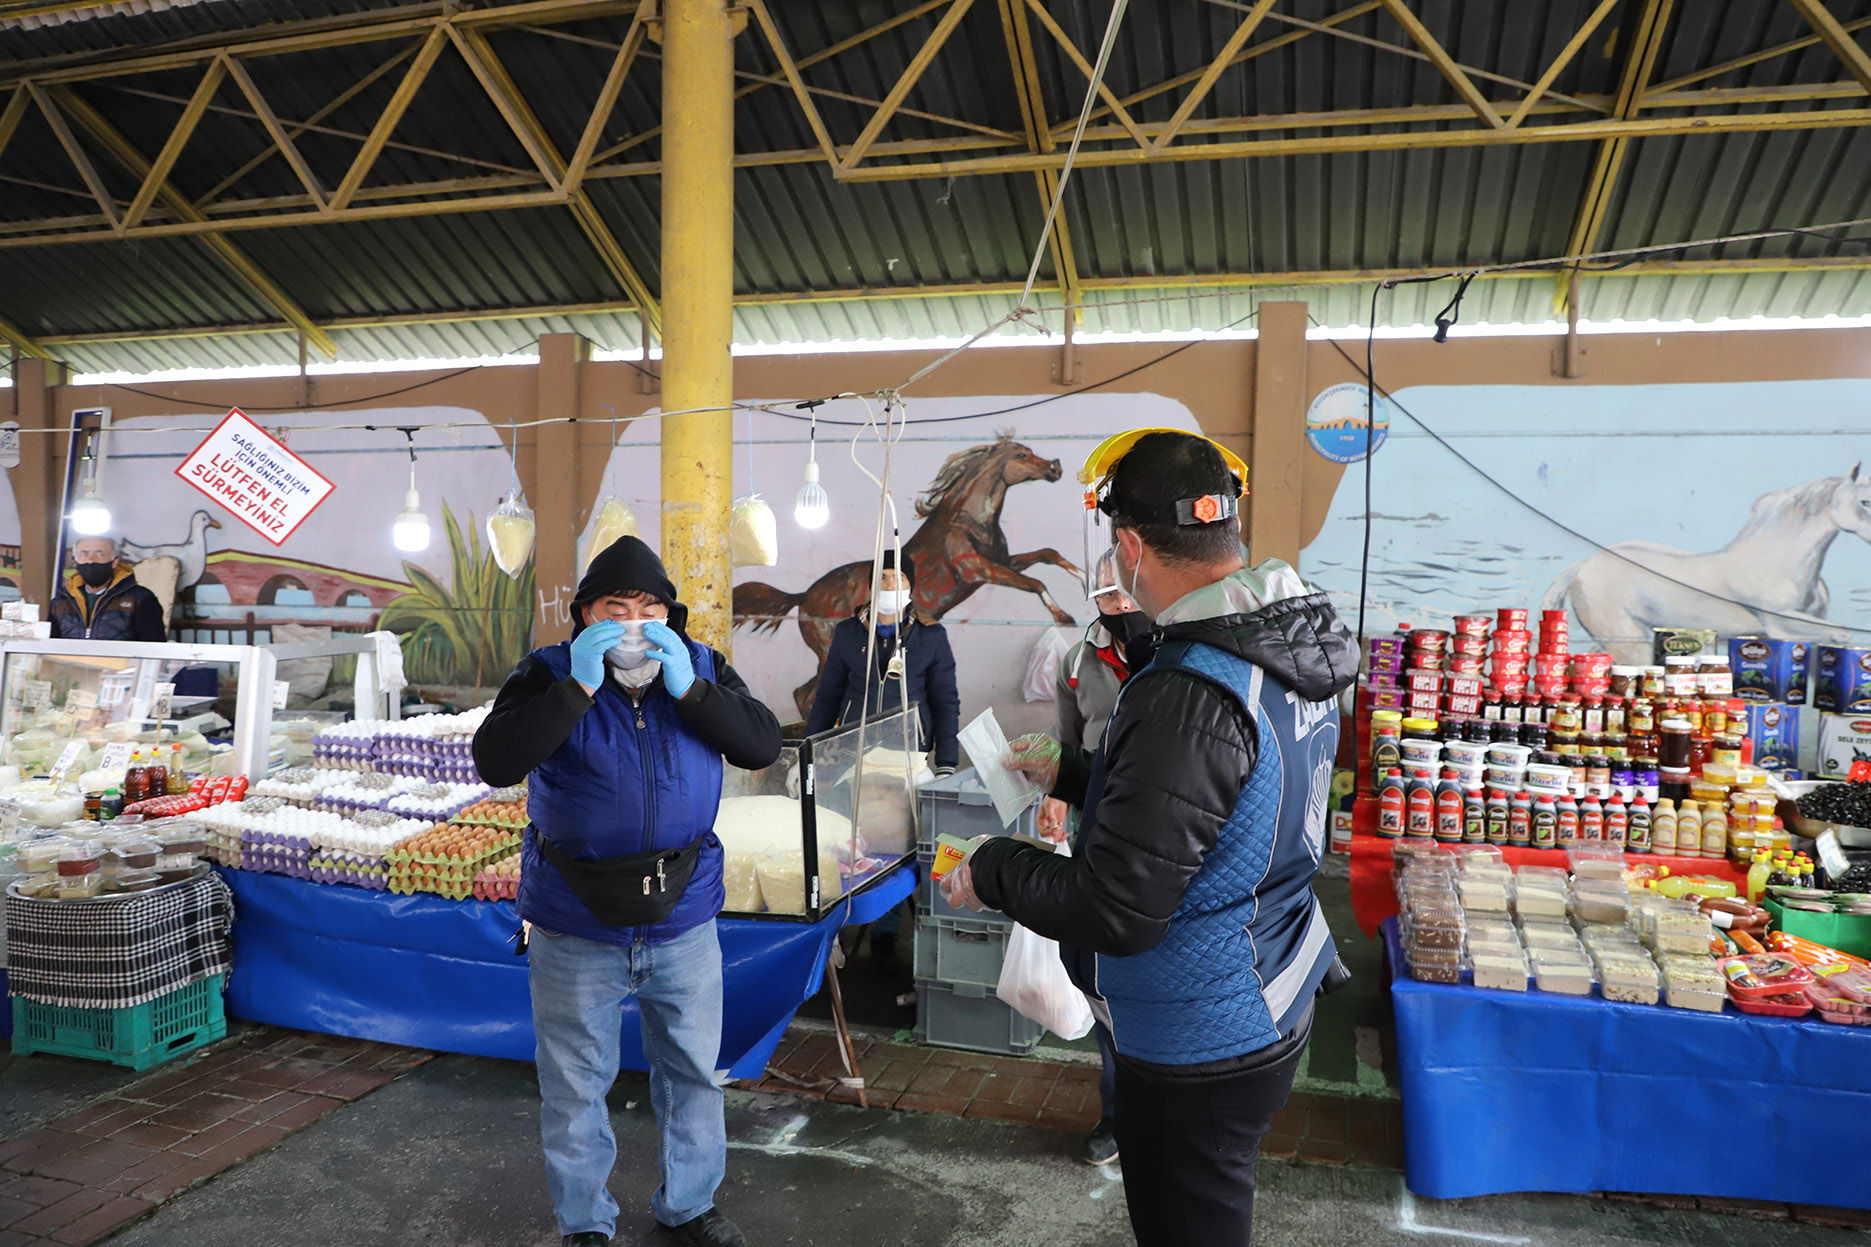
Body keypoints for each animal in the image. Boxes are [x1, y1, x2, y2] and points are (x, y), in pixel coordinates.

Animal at [729, 434, 1085, 715]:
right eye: (1021, 456)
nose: (1055, 467)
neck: (965, 519)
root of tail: (804, 597)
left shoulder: (1005, 562)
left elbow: (1047, 555)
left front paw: (1084, 578)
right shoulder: (979, 570)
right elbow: (1036, 582)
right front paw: (1065, 616)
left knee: (804, 694)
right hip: (830, 652)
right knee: (808, 696)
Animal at [1541, 460, 1871, 666]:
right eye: (1865, 501)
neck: (1777, 562)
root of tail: (1584, 565)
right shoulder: (1783, 625)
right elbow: (1843, 633)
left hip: (1614, 639)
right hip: (1627, 639)